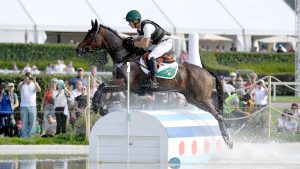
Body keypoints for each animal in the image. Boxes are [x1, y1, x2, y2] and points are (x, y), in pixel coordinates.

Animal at [76, 19, 233, 149]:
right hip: (193, 99)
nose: (78, 49)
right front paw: (101, 108)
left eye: (90, 35)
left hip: (202, 98)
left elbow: (102, 87)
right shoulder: (119, 84)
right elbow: (103, 89)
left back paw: (228, 141)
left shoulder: (124, 84)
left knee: (219, 115)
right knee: (217, 113)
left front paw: (98, 107)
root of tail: (207, 72)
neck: (125, 56)